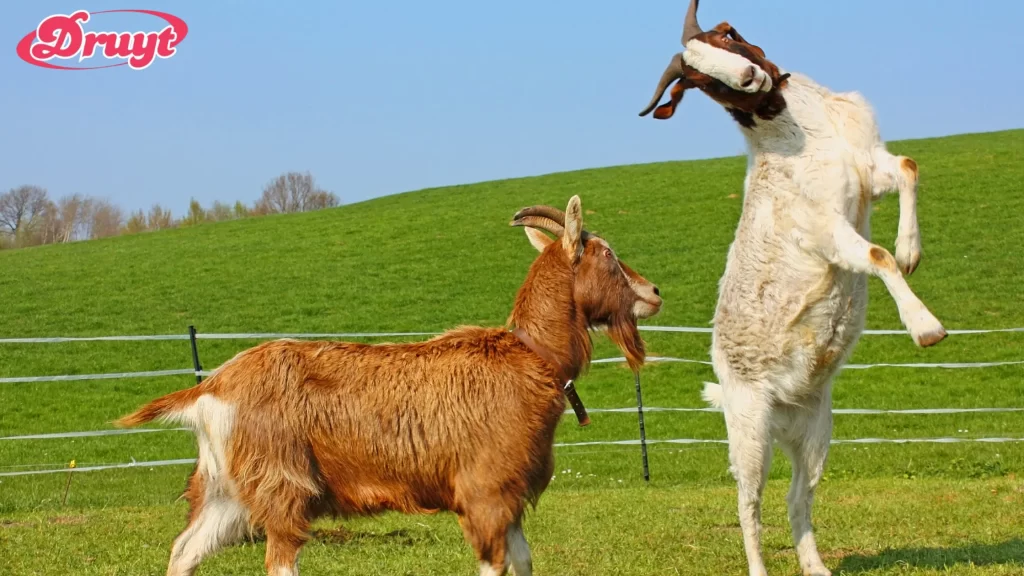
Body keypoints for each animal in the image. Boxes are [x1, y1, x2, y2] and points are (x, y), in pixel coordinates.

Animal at [116, 194, 663, 569]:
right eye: (607, 253)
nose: (654, 292)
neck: (529, 356)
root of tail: (211, 387)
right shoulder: (485, 491)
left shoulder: (509, 496)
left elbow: (524, 562)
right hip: (281, 483)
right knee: (277, 558)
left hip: (223, 489)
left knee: (184, 551)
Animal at [634, 2, 946, 569]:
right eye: (696, 80)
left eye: (725, 35)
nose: (748, 77)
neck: (799, 128)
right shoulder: (822, 228)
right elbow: (875, 256)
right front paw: (925, 327)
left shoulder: (868, 167)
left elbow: (909, 169)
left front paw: (912, 250)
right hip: (748, 429)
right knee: (748, 504)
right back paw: (759, 567)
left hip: (816, 428)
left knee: (797, 496)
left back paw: (816, 566)